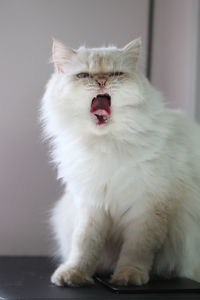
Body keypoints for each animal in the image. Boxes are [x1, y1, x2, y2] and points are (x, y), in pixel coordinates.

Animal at [40, 38, 200, 286]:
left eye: (116, 74)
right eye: (84, 75)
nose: (101, 81)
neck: (106, 145)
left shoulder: (148, 207)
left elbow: (136, 250)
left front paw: (128, 277)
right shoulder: (91, 205)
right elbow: (84, 245)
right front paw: (74, 274)